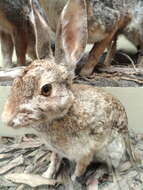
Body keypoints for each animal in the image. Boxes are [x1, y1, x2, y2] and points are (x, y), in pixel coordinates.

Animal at [1, 0, 135, 184]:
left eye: (46, 89)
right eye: (15, 83)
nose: (6, 118)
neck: (67, 111)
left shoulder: (87, 151)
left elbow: (81, 166)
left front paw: (73, 178)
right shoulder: (57, 150)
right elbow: (54, 159)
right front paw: (46, 176)